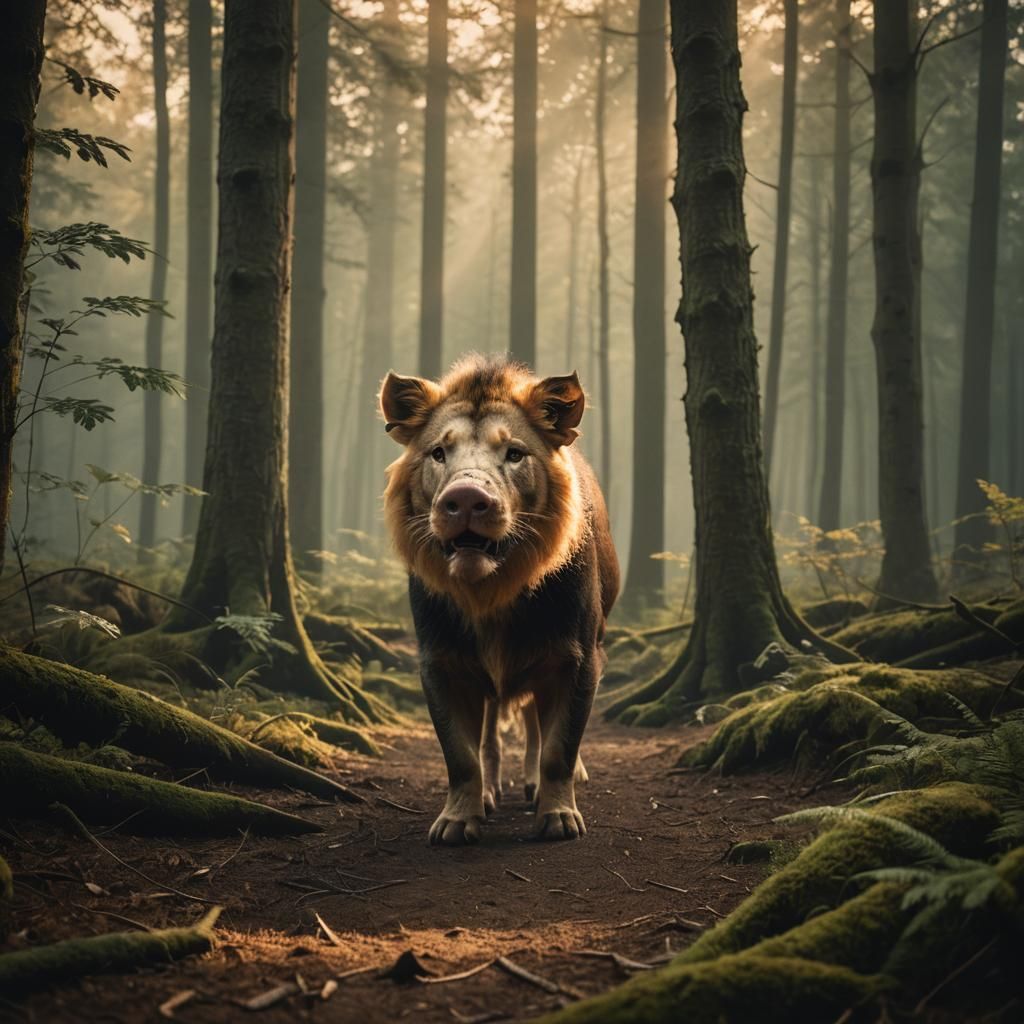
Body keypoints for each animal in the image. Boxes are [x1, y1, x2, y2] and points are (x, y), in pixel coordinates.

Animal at [379, 354, 619, 845]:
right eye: (439, 453)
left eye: (514, 454)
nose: (467, 498)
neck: (488, 593)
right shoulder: (441, 663)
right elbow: (462, 756)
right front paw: (457, 821)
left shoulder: (577, 658)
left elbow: (559, 748)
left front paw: (558, 817)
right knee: (492, 734)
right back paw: (491, 793)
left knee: (534, 726)